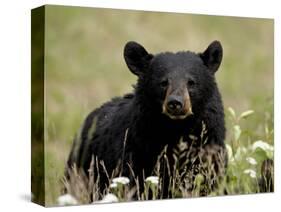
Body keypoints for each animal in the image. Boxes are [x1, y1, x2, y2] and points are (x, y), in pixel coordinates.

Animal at [65, 40, 225, 200]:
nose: (175, 103)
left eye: (191, 82)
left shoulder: (210, 153)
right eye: (163, 82)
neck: (176, 130)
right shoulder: (136, 155)